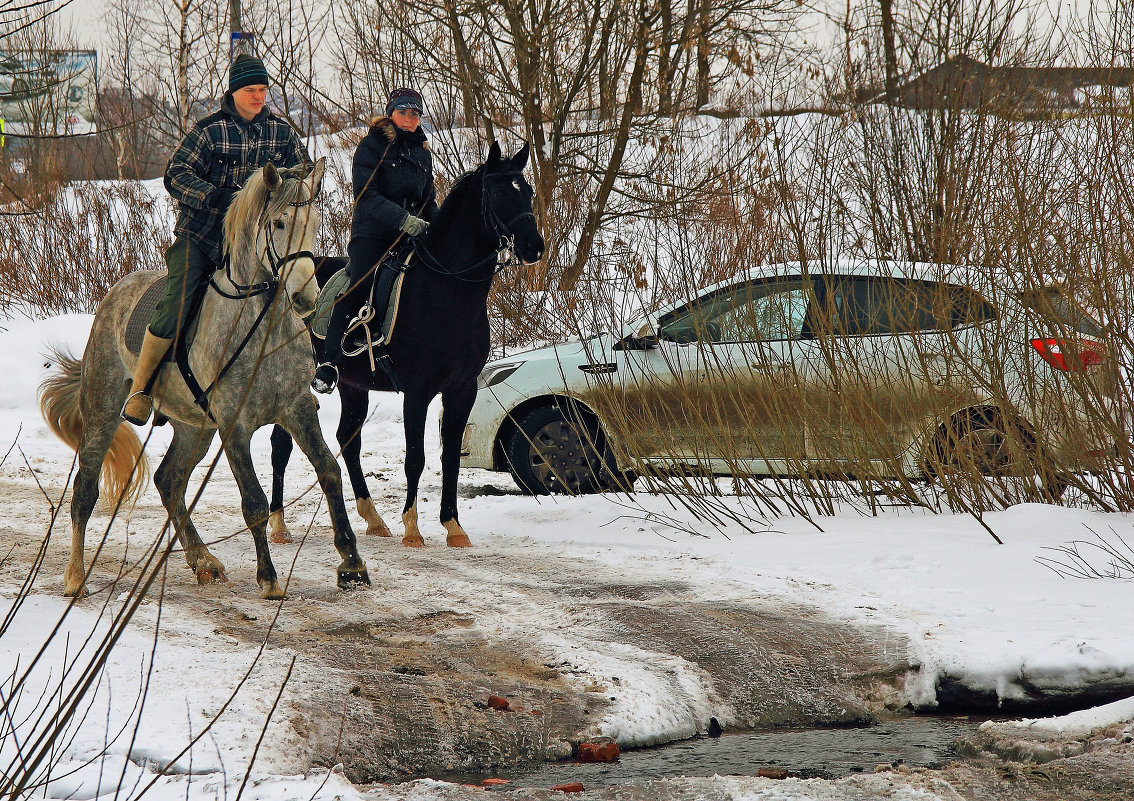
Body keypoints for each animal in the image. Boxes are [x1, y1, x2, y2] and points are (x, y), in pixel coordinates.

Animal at [38, 157, 367, 594]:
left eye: (314, 221)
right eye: (279, 223)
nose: (305, 298)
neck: (260, 327)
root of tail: (115, 294)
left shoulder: (296, 409)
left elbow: (330, 472)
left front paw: (352, 563)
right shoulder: (234, 424)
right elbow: (254, 501)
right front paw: (268, 579)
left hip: (195, 428)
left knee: (169, 480)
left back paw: (202, 560)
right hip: (103, 409)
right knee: (85, 489)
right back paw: (75, 577)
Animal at [269, 141, 544, 542]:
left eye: (527, 191)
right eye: (496, 193)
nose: (533, 246)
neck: (447, 291)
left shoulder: (461, 389)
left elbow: (449, 457)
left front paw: (453, 527)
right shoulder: (417, 392)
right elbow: (415, 457)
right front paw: (413, 528)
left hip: (352, 385)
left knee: (348, 439)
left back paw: (373, 519)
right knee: (281, 444)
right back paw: (277, 524)